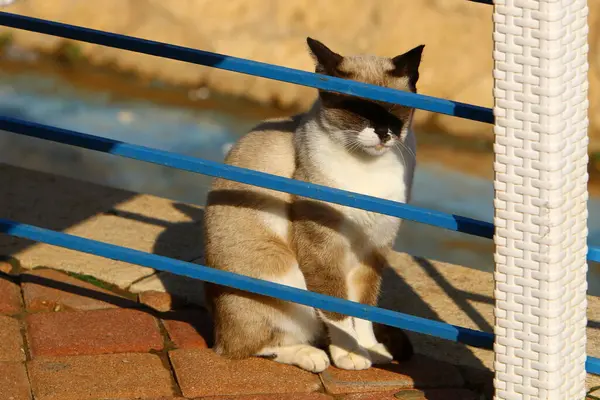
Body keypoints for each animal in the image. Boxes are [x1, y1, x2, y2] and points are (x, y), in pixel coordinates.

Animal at [204, 37, 424, 372]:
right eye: (357, 111)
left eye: (393, 110)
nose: (383, 133)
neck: (369, 170)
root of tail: (215, 327)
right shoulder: (323, 245)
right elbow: (338, 308)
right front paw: (350, 354)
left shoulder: (374, 247)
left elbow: (364, 307)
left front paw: (370, 349)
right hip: (285, 275)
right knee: (245, 347)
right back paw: (311, 355)